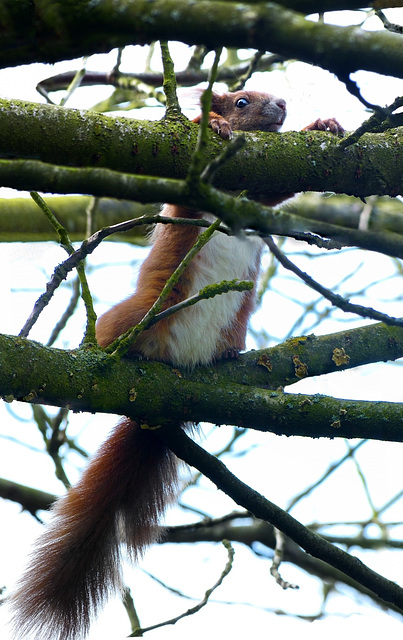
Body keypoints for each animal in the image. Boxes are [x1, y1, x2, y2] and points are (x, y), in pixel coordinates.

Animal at [8, 90, 344, 640]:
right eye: (242, 100)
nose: (280, 105)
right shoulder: (188, 202)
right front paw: (213, 125)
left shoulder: (255, 200)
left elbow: (275, 196)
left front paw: (326, 125)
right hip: (137, 313)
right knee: (109, 339)